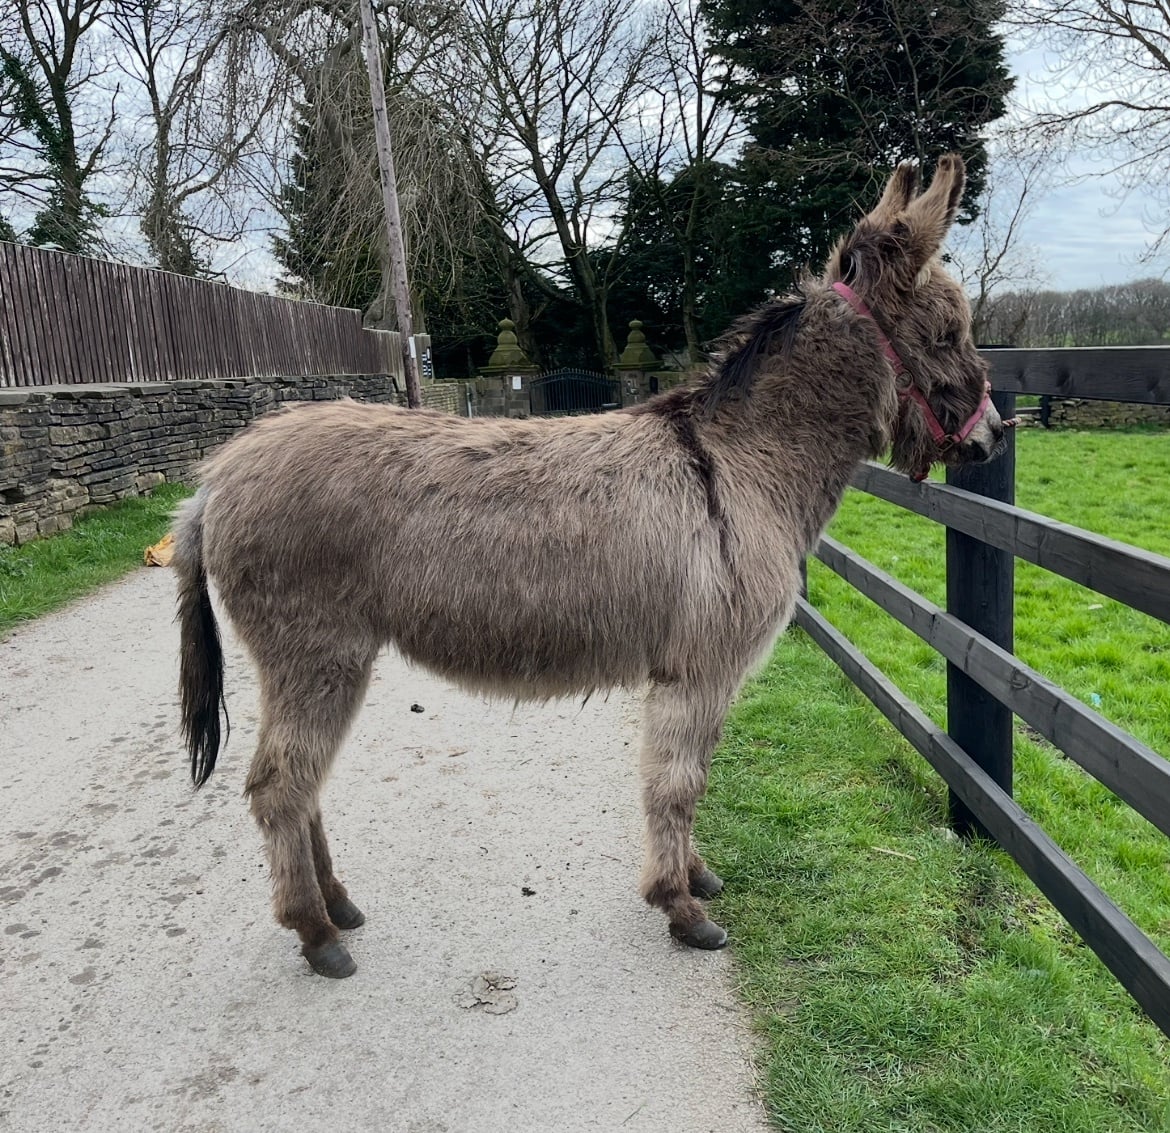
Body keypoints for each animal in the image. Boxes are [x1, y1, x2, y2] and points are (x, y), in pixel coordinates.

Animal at [175, 154, 1005, 978]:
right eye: (949, 331)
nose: (997, 435)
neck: (743, 461)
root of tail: (217, 476)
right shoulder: (701, 669)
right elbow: (677, 783)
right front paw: (681, 907)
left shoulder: (706, 673)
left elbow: (693, 776)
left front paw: (695, 875)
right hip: (318, 653)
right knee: (281, 786)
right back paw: (316, 932)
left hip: (319, 661)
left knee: (303, 782)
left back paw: (337, 904)